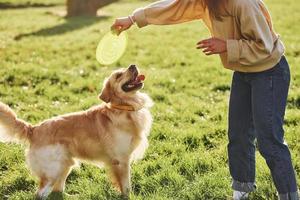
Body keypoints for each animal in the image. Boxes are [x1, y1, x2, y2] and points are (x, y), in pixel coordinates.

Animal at [0, 65, 152, 198]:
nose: (133, 65)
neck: (124, 108)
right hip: (52, 171)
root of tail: (34, 129)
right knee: (41, 194)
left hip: (64, 165)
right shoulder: (121, 160)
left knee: (58, 190)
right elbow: (126, 187)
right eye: (119, 75)